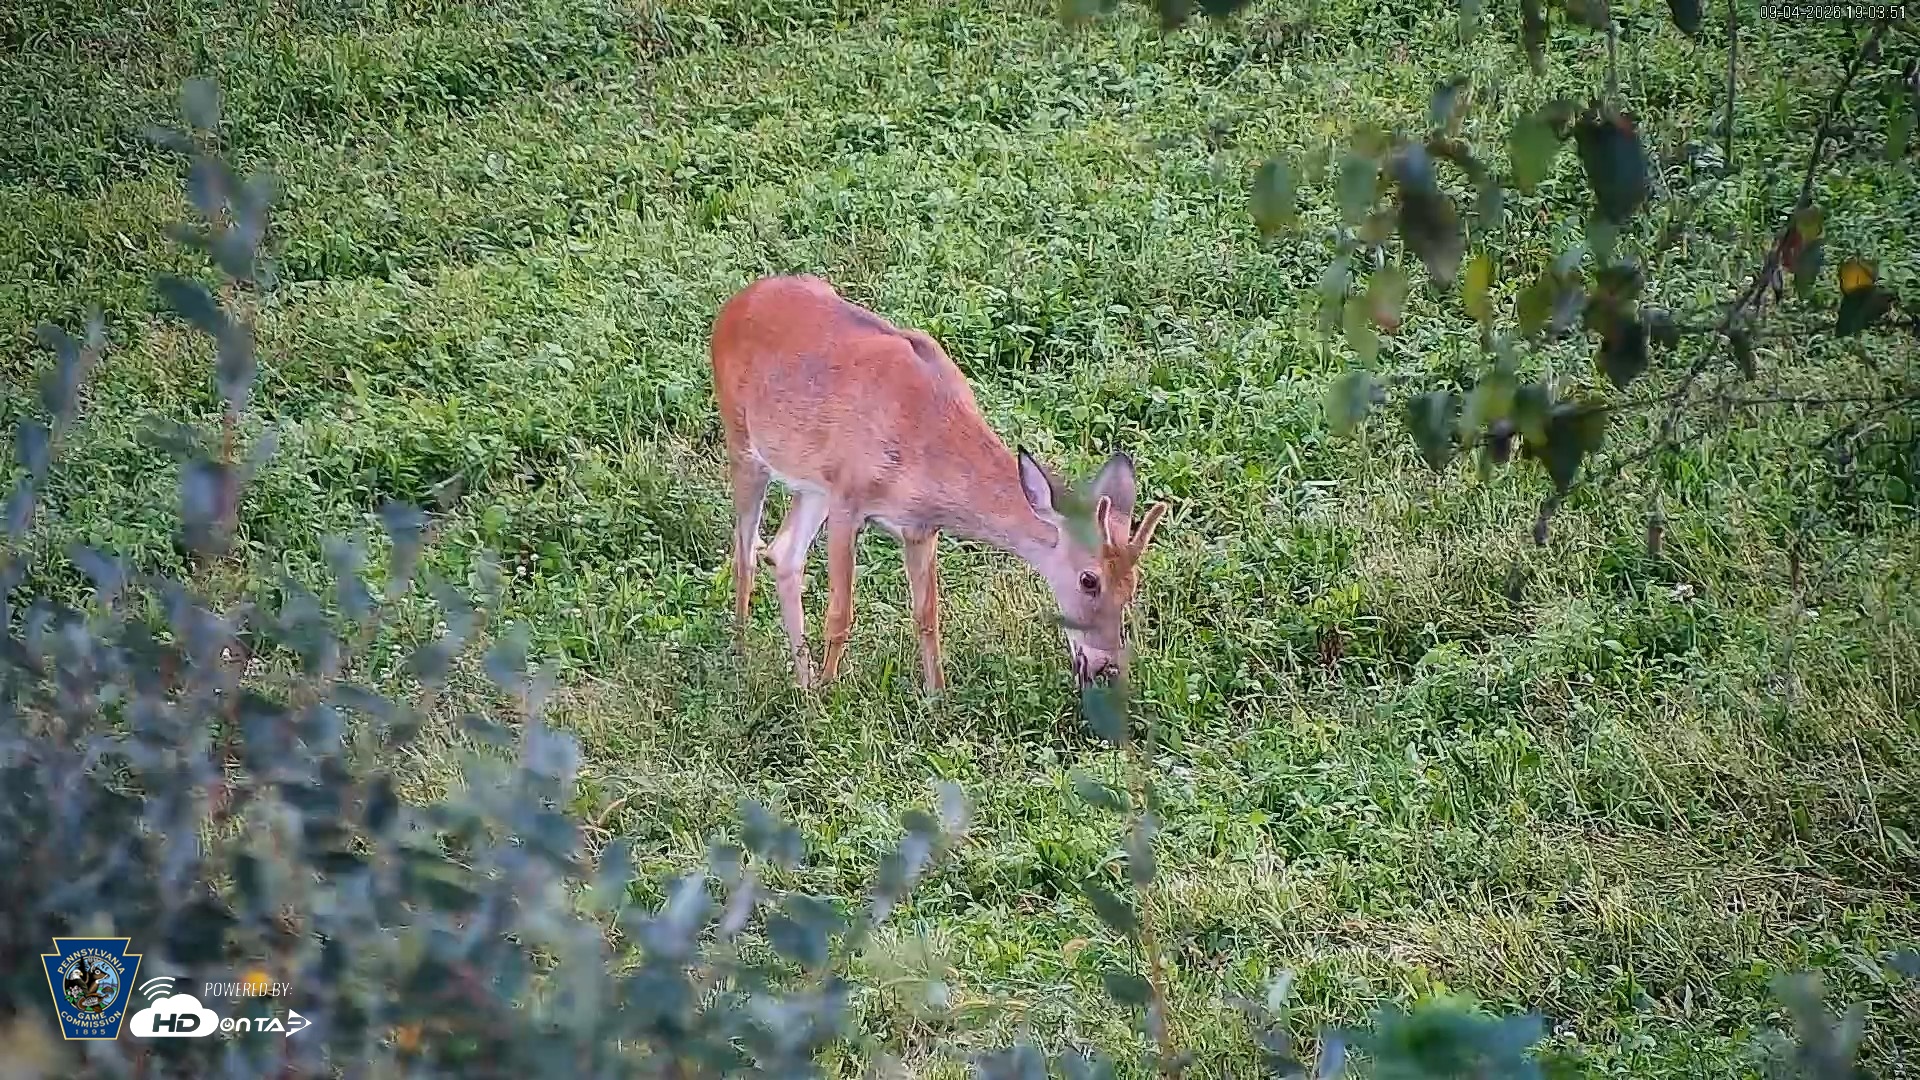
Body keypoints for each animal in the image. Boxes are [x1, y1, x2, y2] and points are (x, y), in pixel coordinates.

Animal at [709, 274, 1168, 693]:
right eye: (1089, 580)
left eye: (1134, 584)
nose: (1104, 666)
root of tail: (734, 304)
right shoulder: (847, 499)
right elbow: (841, 614)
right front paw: (830, 695)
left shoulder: (919, 527)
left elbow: (927, 616)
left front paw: (937, 700)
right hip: (743, 442)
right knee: (745, 550)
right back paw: (744, 654)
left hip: (810, 482)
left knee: (782, 552)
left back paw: (801, 685)